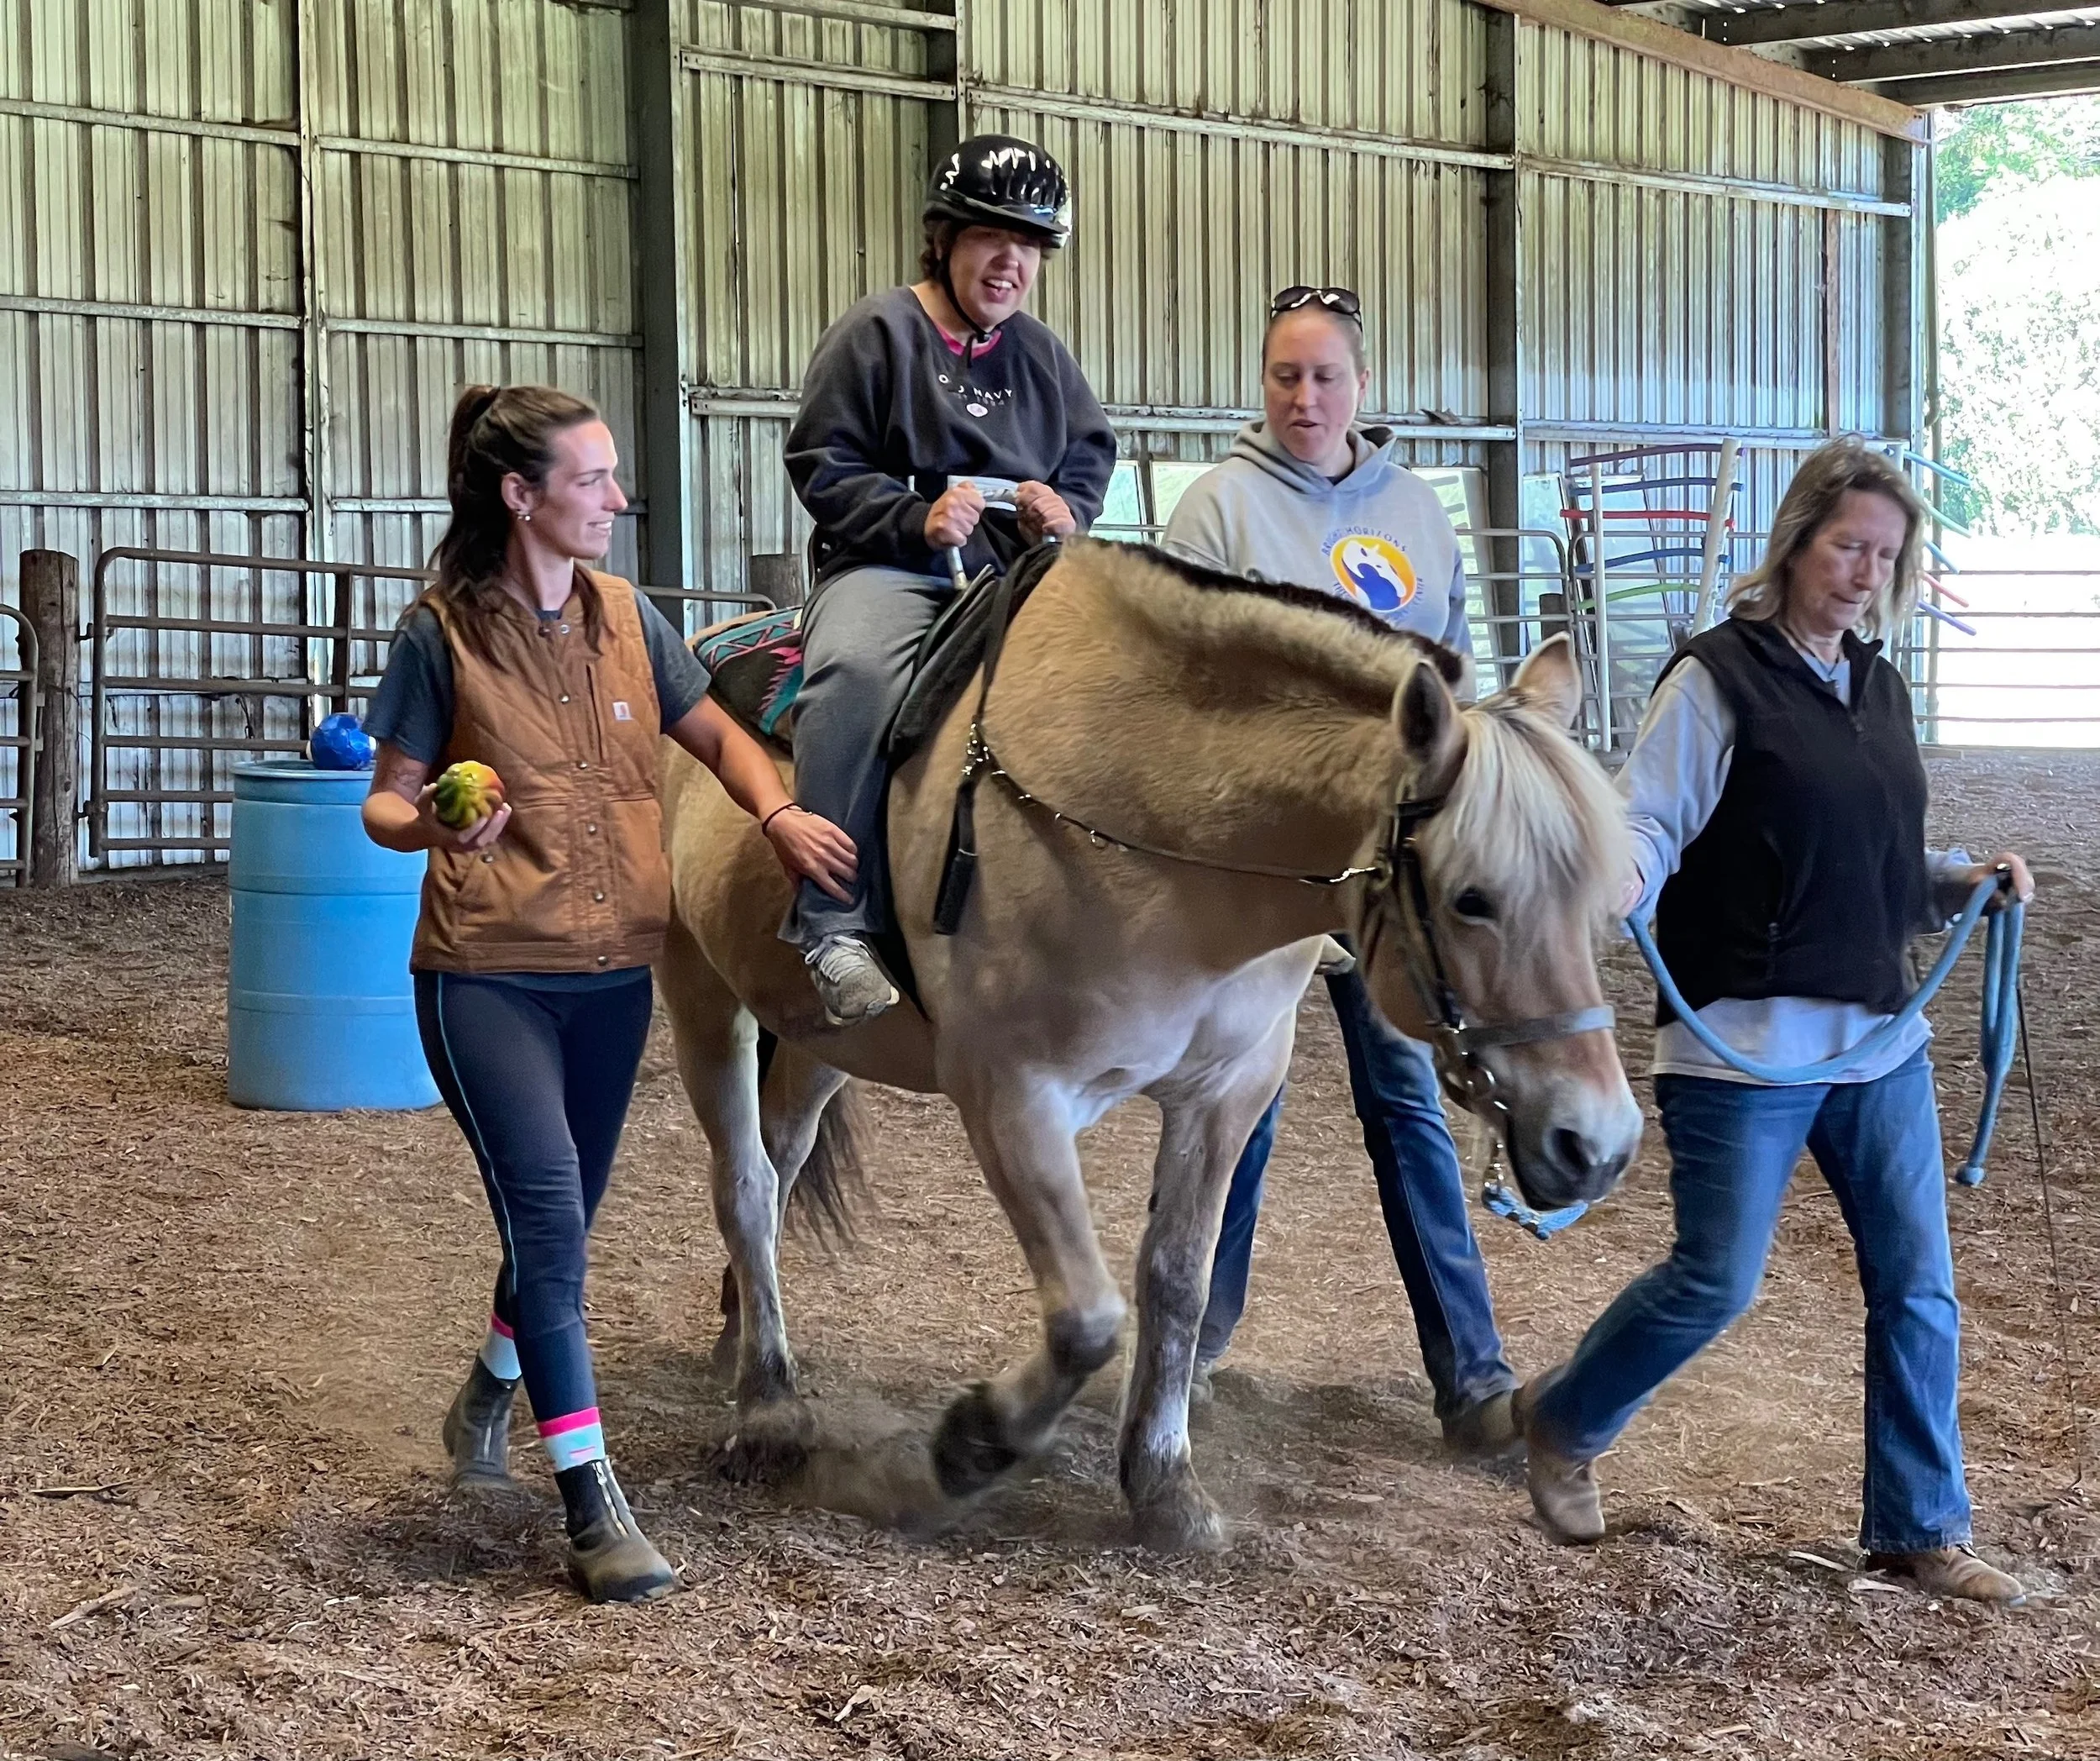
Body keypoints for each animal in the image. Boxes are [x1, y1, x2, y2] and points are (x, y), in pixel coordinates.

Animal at [656, 540, 1640, 1550]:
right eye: (1471, 898)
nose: (1597, 1145)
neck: (1151, 828)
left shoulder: (1227, 1091)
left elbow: (1177, 1281)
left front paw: (1165, 1483)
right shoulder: (1013, 1095)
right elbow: (1088, 1316)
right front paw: (966, 1446)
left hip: (820, 1038)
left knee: (778, 1165)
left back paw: (742, 1334)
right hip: (700, 992)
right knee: (743, 1186)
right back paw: (768, 1408)